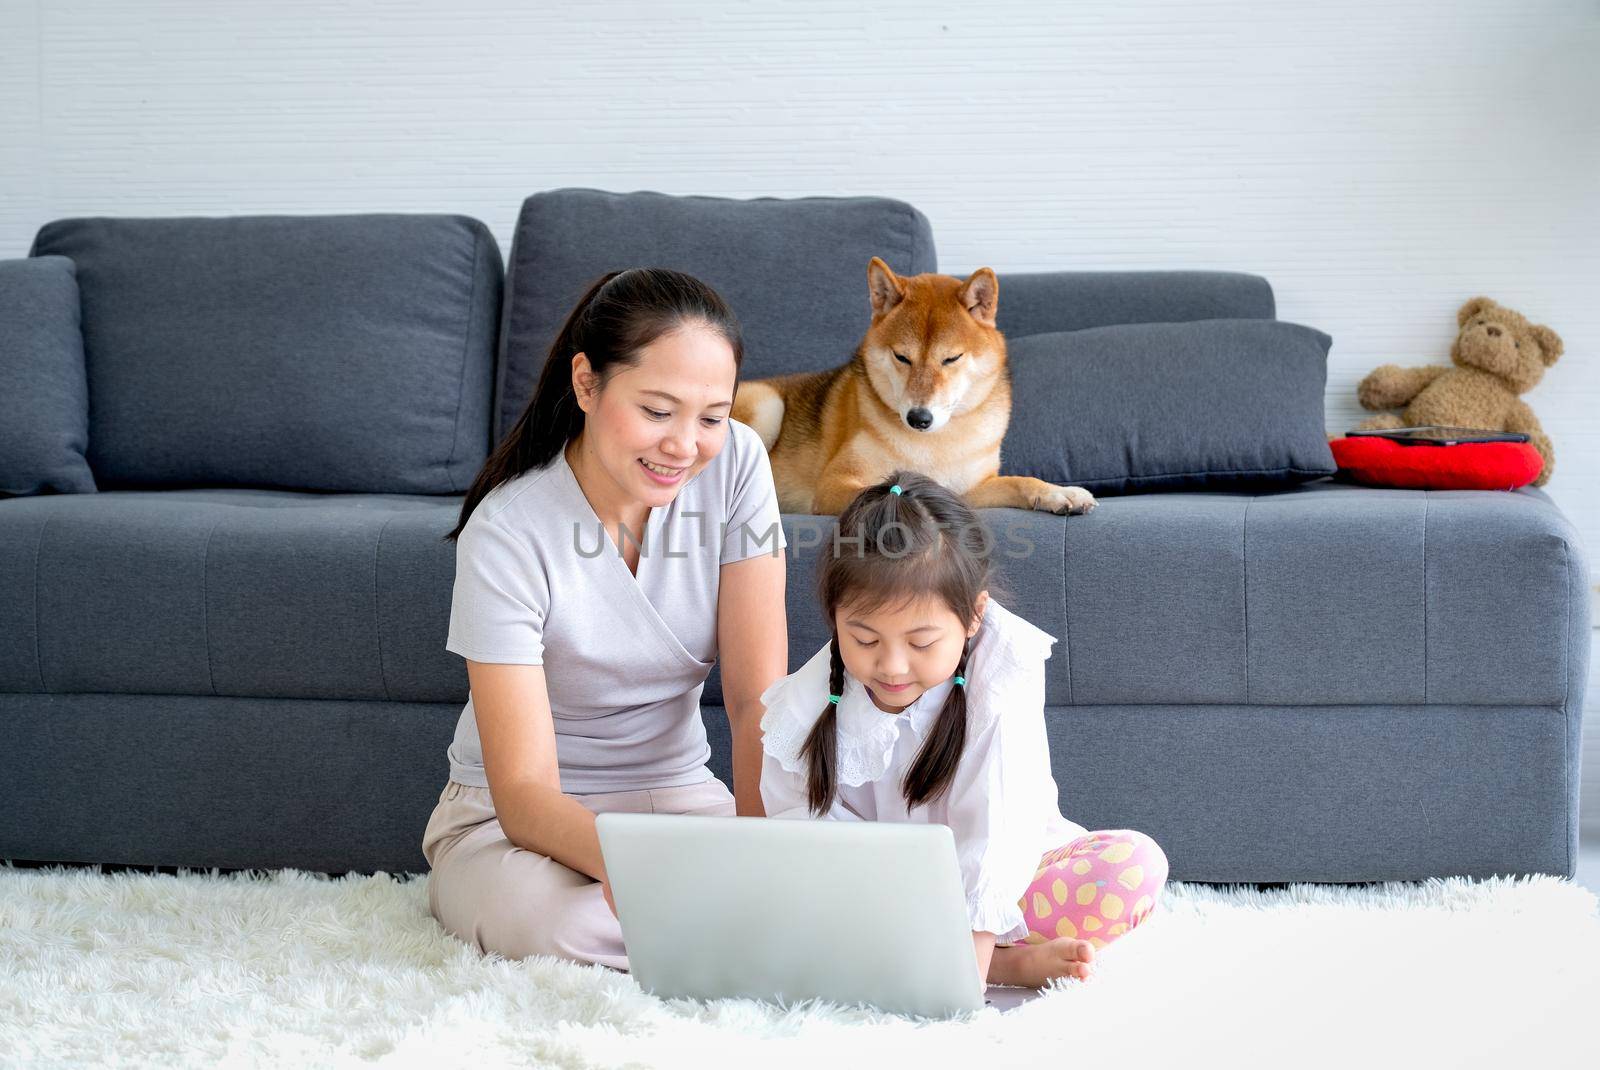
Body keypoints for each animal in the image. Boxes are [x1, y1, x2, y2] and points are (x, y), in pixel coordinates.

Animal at [732, 254, 1100, 511]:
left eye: (951, 358)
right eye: (902, 357)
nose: (919, 418)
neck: (936, 444)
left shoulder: (972, 486)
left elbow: (1019, 481)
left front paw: (1058, 493)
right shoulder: (836, 484)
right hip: (767, 405)